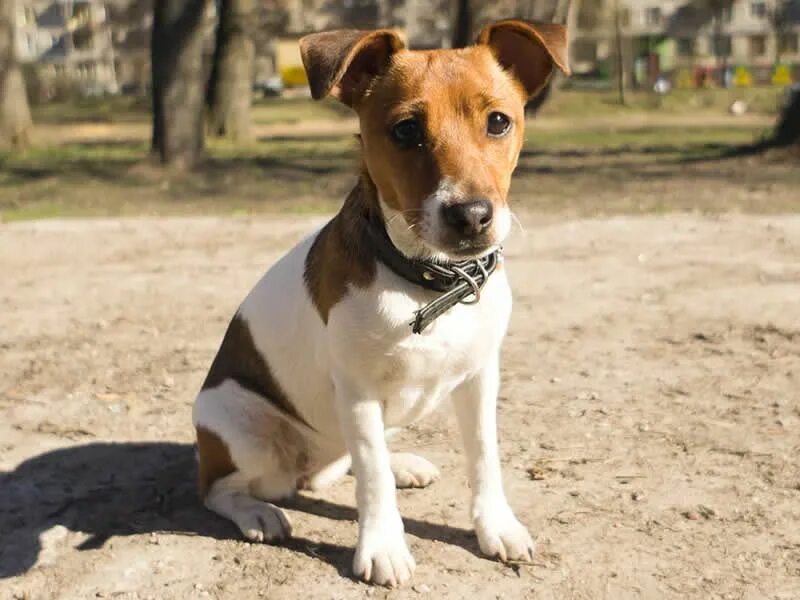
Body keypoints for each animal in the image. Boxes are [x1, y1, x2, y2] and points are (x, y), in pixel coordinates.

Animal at [193, 19, 568, 584]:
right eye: (406, 130)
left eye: (499, 122)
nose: (471, 215)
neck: (431, 282)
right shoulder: (358, 391)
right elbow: (371, 476)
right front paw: (384, 546)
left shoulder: (481, 377)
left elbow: (484, 456)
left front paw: (495, 527)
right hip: (238, 424)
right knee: (221, 489)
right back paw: (257, 511)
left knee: (339, 467)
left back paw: (401, 464)